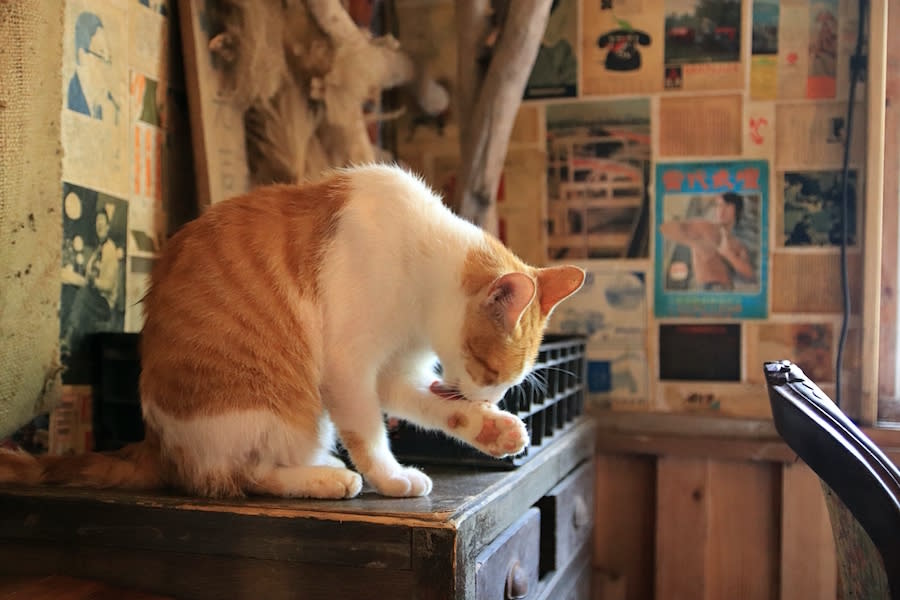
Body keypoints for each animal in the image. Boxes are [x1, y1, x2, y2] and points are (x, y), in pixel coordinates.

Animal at [0, 166, 584, 500]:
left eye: (510, 381)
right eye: (490, 369)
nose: (493, 397)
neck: (419, 256)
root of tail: (157, 447)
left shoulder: (392, 373)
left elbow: (435, 407)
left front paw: (495, 430)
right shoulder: (348, 369)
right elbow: (369, 432)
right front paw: (391, 477)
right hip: (280, 404)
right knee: (236, 477)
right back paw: (329, 478)